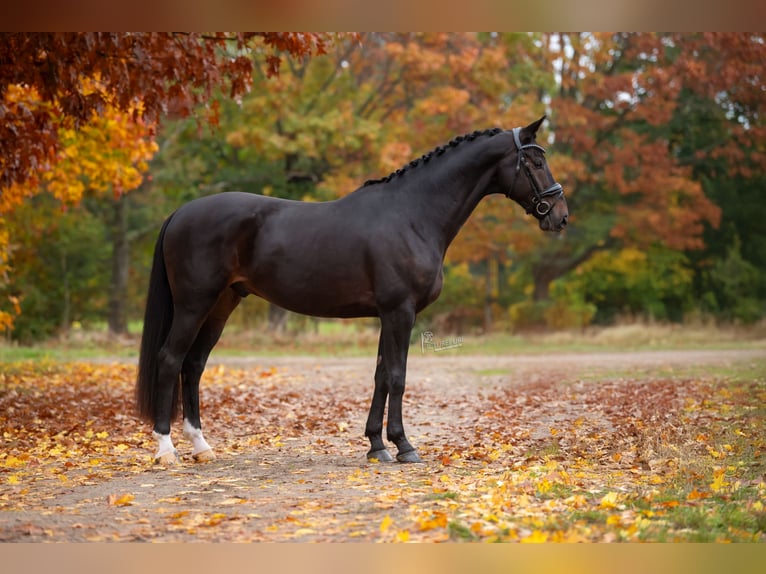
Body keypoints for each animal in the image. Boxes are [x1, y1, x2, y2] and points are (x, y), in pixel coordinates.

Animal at [135, 116, 568, 465]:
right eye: (535, 162)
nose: (560, 217)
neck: (412, 214)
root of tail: (181, 212)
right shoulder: (400, 311)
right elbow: (398, 376)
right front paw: (404, 447)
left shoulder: (387, 314)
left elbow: (381, 376)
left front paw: (376, 446)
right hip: (194, 304)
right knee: (170, 359)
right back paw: (166, 449)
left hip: (221, 305)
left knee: (193, 365)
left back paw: (201, 447)